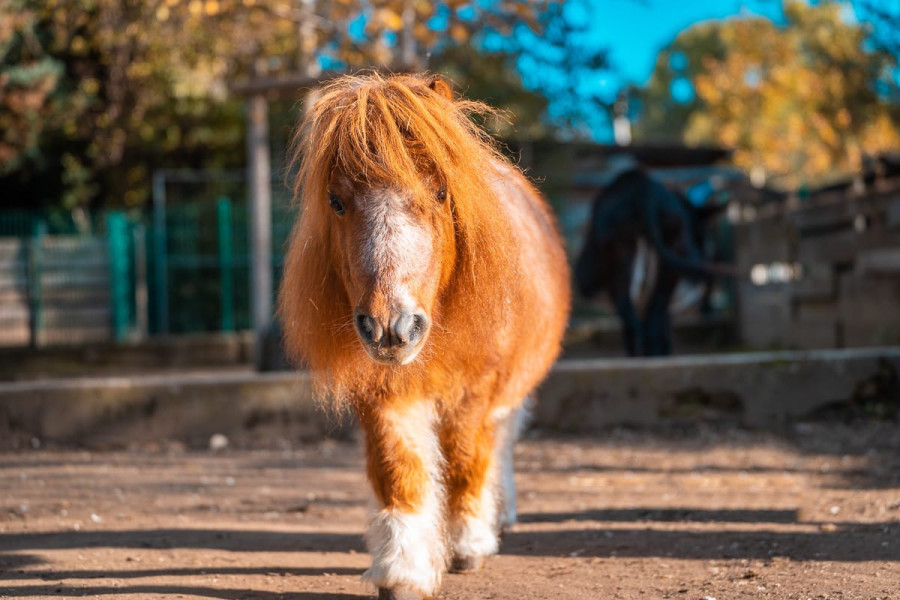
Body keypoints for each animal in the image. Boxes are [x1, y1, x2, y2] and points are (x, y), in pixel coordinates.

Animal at [278, 73, 571, 600]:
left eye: (439, 192)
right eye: (336, 202)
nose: (392, 327)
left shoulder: (476, 390)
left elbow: (465, 461)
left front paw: (468, 545)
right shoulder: (381, 391)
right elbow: (400, 471)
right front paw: (403, 569)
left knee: (502, 440)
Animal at [574, 168, 730, 356]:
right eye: (698, 235)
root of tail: (645, 192)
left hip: (624, 265)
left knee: (638, 323)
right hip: (661, 265)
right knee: (648, 322)